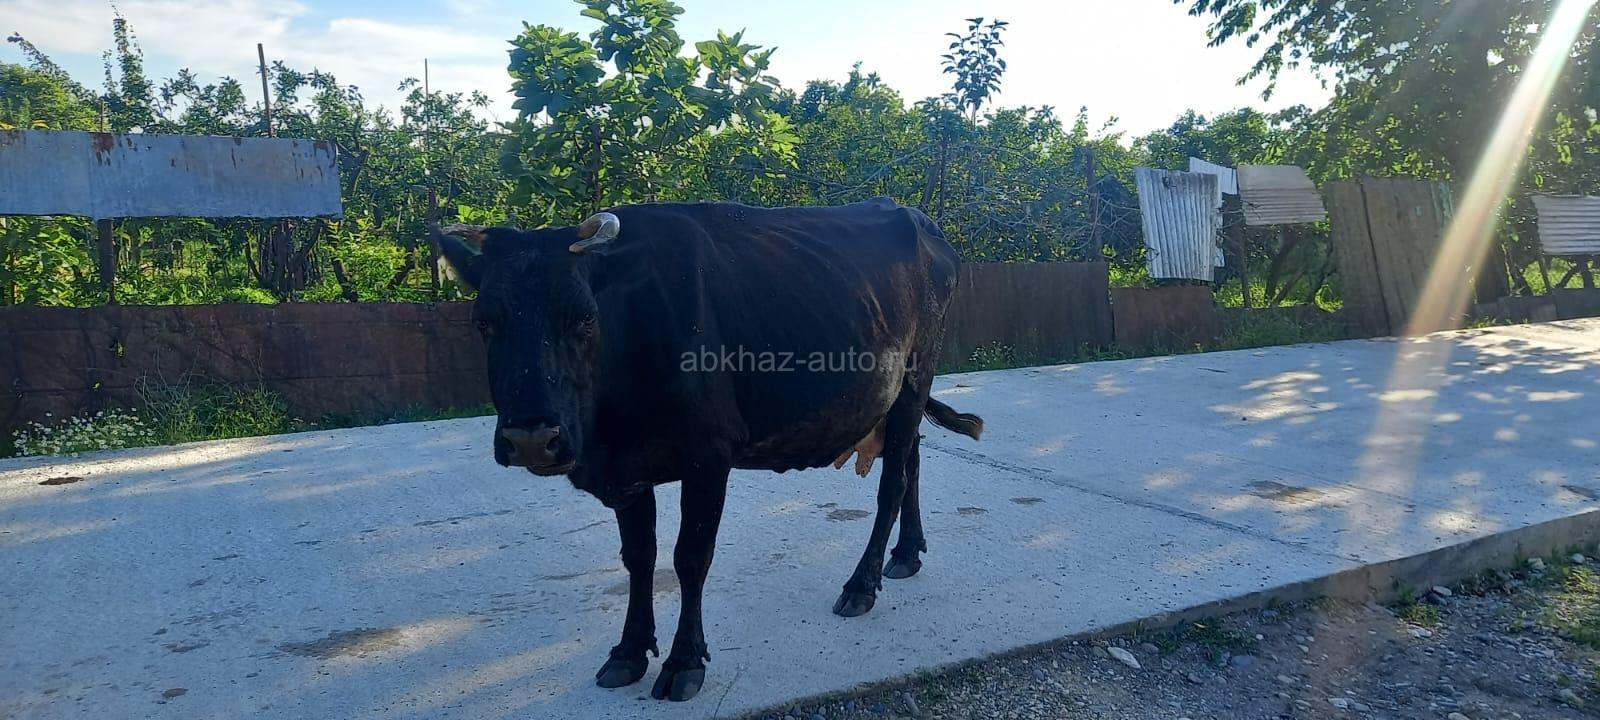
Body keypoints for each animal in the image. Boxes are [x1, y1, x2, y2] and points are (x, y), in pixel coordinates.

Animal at [433, 197, 983, 702]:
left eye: (585, 318)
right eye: (485, 321)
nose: (531, 439)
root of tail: (920, 220)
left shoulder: (709, 455)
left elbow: (690, 558)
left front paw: (683, 662)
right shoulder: (628, 471)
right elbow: (639, 557)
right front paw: (628, 652)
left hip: (915, 375)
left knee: (893, 483)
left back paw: (861, 585)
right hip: (893, 398)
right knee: (911, 459)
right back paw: (907, 553)